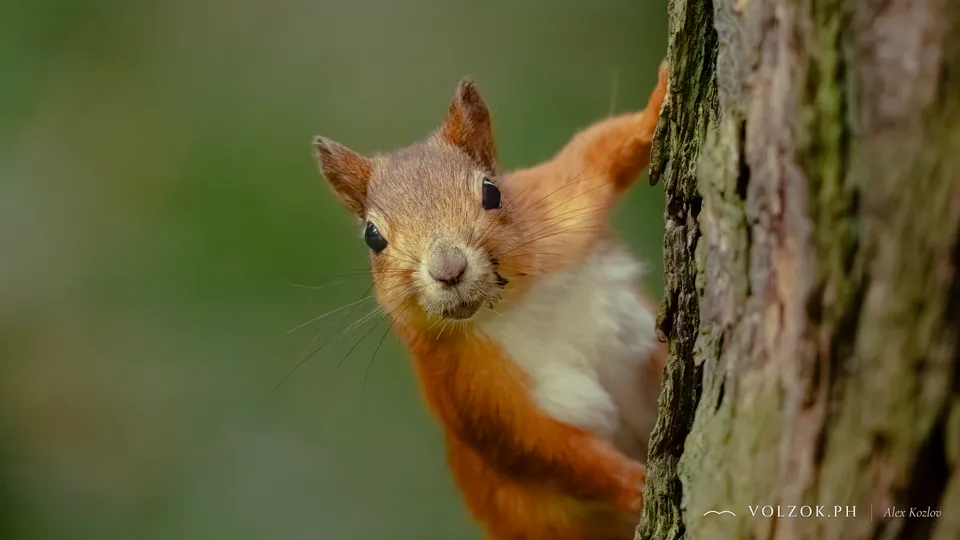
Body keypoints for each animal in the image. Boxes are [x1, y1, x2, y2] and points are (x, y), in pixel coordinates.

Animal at [312, 61, 669, 540]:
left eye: (492, 191)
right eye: (373, 237)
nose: (449, 270)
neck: (513, 304)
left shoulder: (567, 199)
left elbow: (605, 145)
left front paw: (662, 92)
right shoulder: (468, 391)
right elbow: (547, 453)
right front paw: (637, 484)